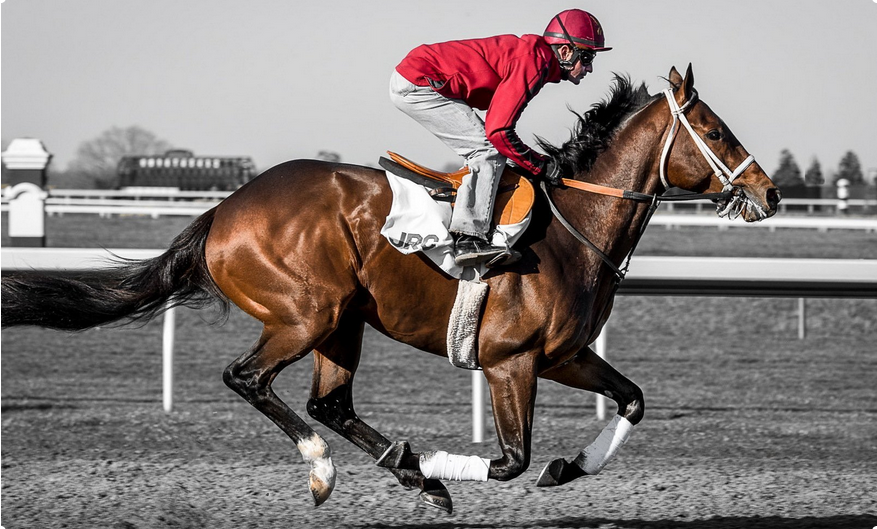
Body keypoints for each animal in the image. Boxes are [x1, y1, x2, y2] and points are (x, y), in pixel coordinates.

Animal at [1, 65, 780, 512]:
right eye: (714, 130)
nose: (769, 192)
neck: (571, 229)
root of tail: (223, 210)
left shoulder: (563, 355)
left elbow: (632, 399)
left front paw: (567, 466)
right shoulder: (511, 361)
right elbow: (509, 460)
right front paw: (439, 457)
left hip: (343, 321)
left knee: (331, 401)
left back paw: (409, 474)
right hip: (306, 313)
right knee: (248, 378)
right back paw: (334, 471)